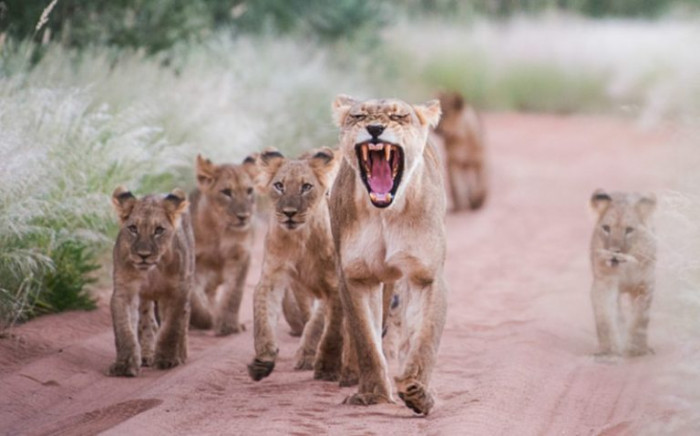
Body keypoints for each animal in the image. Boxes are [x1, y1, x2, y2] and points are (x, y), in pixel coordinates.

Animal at [109, 186, 194, 377]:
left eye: (159, 230)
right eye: (133, 228)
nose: (143, 255)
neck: (151, 272)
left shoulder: (177, 290)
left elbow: (172, 327)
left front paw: (167, 359)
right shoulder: (125, 290)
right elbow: (125, 329)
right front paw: (125, 365)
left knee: (184, 320)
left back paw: (182, 354)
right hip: (145, 298)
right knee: (148, 323)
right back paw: (147, 355)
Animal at [247, 147, 345, 383]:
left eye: (306, 186)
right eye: (279, 186)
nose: (289, 213)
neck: (301, 239)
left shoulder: (334, 285)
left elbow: (327, 327)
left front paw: (327, 366)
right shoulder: (272, 277)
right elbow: (262, 318)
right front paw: (263, 361)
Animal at [329, 95, 448, 415]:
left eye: (398, 116)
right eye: (359, 116)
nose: (374, 128)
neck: (385, 213)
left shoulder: (425, 275)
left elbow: (425, 337)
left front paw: (417, 391)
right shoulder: (356, 276)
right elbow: (366, 340)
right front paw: (373, 394)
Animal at [589, 189, 656, 360]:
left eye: (629, 230)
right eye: (606, 228)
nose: (614, 252)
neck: (626, 269)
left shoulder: (644, 286)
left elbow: (640, 319)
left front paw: (636, 350)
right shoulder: (604, 283)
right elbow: (605, 317)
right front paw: (608, 350)